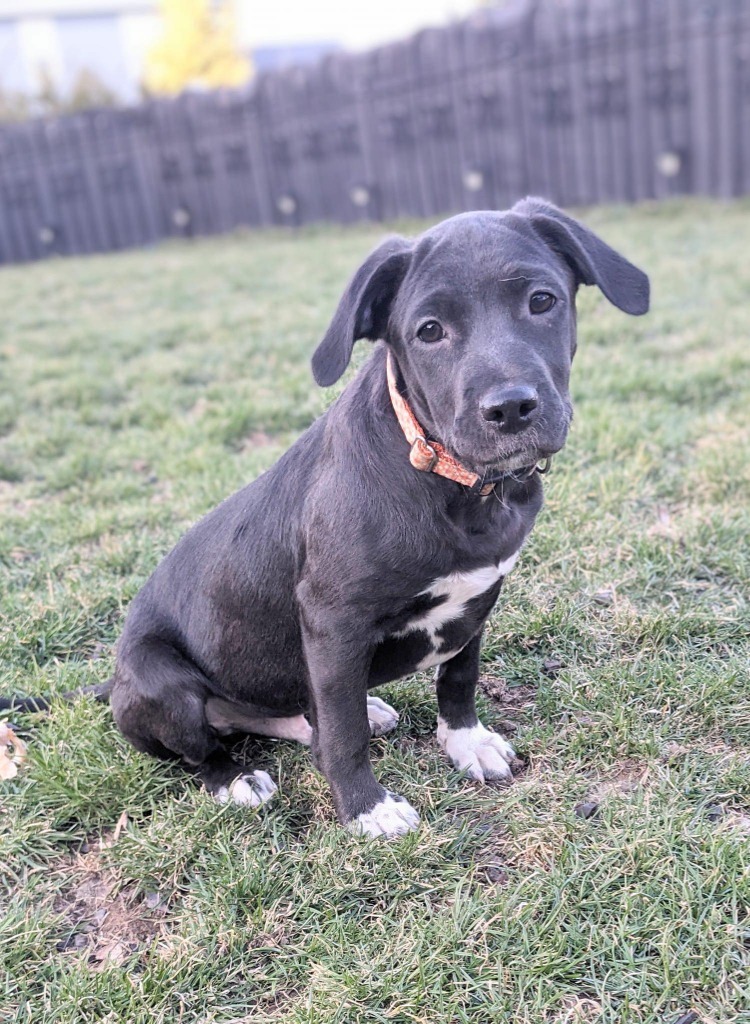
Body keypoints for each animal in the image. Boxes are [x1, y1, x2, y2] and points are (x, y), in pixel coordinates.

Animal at [1, 199, 651, 839]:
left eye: (542, 300)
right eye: (429, 332)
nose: (511, 408)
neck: (453, 481)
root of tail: (113, 682)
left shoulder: (481, 593)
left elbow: (458, 676)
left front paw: (467, 742)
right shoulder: (333, 620)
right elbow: (342, 733)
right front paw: (366, 807)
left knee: (282, 711)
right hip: (161, 679)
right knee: (205, 747)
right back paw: (234, 779)